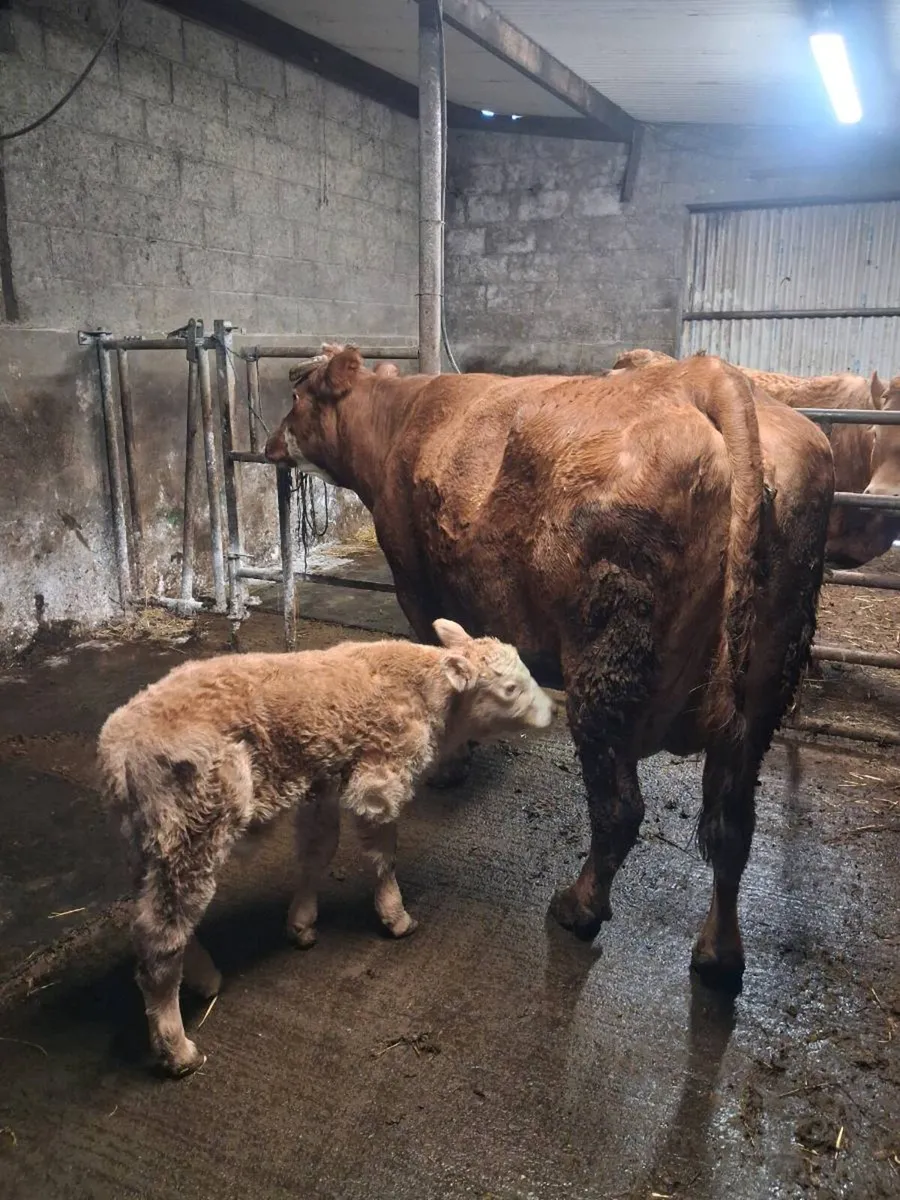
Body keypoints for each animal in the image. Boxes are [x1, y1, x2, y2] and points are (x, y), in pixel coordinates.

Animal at [97, 625, 554, 1076]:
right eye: (510, 688)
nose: (551, 711)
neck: (425, 691)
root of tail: (117, 752)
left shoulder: (324, 780)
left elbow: (318, 850)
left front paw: (301, 923)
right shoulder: (379, 776)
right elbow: (382, 855)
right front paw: (395, 916)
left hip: (148, 841)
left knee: (160, 916)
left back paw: (203, 977)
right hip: (192, 826)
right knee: (159, 937)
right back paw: (178, 1049)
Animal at [265, 346, 834, 996]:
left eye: (296, 398)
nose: (269, 444)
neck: (400, 419)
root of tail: (704, 373)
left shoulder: (416, 589)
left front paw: (450, 765)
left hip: (604, 664)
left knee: (620, 809)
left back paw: (578, 906)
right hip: (763, 684)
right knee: (732, 824)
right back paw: (719, 955)